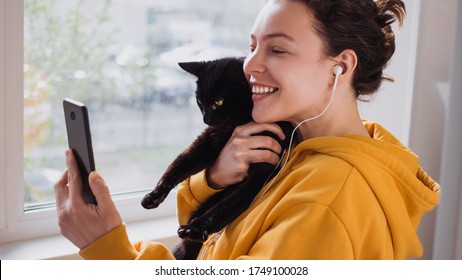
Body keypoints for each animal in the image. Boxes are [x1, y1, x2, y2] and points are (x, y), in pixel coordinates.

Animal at [140, 57, 292, 260]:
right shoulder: (207, 142)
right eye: (199, 101)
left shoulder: (260, 173)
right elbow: (180, 164)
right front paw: (154, 195)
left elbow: (225, 207)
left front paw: (195, 229)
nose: (206, 119)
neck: (237, 124)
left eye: (218, 102)